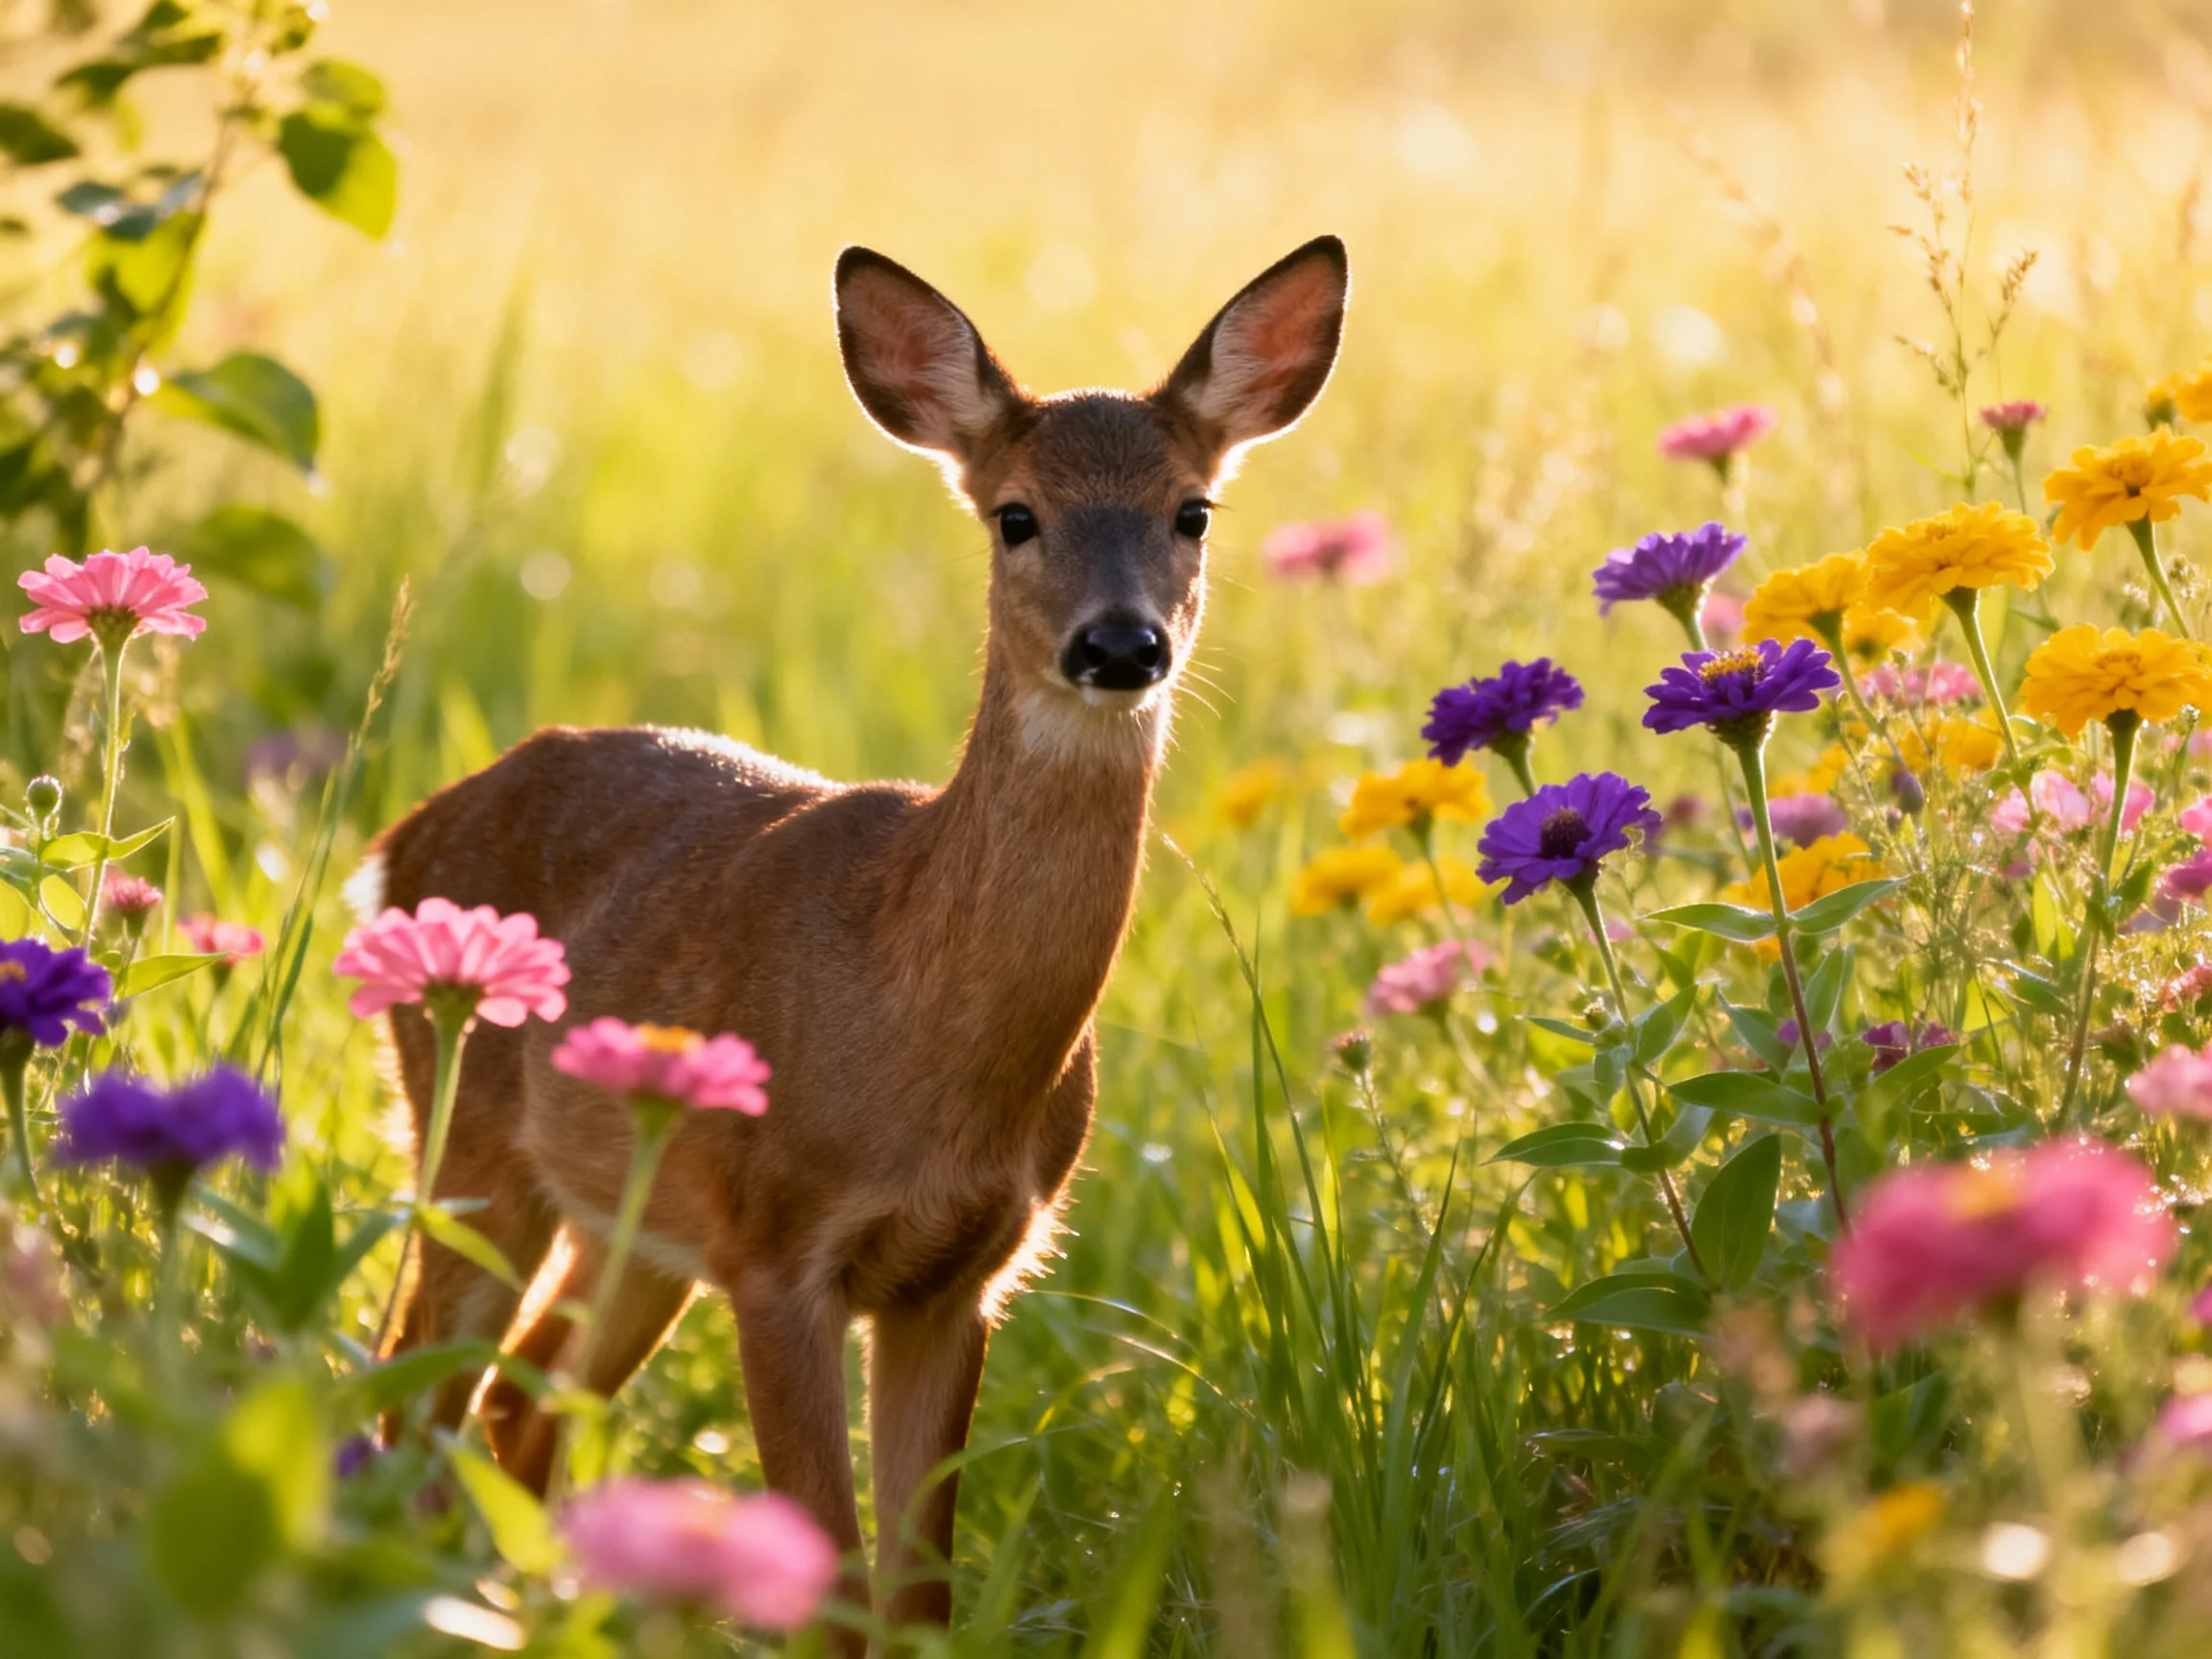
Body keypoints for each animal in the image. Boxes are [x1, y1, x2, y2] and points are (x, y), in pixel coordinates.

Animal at [361, 235, 1348, 1649]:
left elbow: (917, 1590)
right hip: (471, 1133)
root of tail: (405, 834)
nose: (1120, 644)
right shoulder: (780, 1249)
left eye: (1193, 510)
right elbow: (827, 1586)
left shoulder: (961, 1274)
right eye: (1015, 514)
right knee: (414, 1383)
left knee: (518, 1395)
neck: (920, 1041)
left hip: (633, 1220)